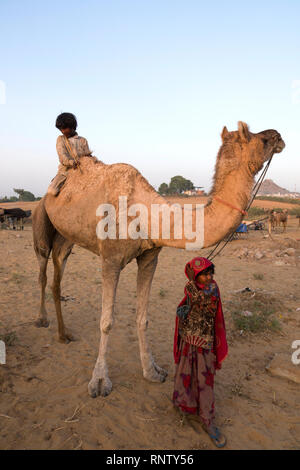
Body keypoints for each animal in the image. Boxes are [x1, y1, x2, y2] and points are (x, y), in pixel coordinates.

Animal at [31, 121, 284, 396]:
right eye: (259, 138)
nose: (278, 136)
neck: (148, 214)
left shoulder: (149, 257)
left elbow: (143, 318)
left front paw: (152, 371)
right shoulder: (110, 259)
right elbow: (106, 321)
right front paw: (99, 381)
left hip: (66, 240)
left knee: (57, 278)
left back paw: (63, 334)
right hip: (41, 222)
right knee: (42, 271)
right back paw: (42, 320)